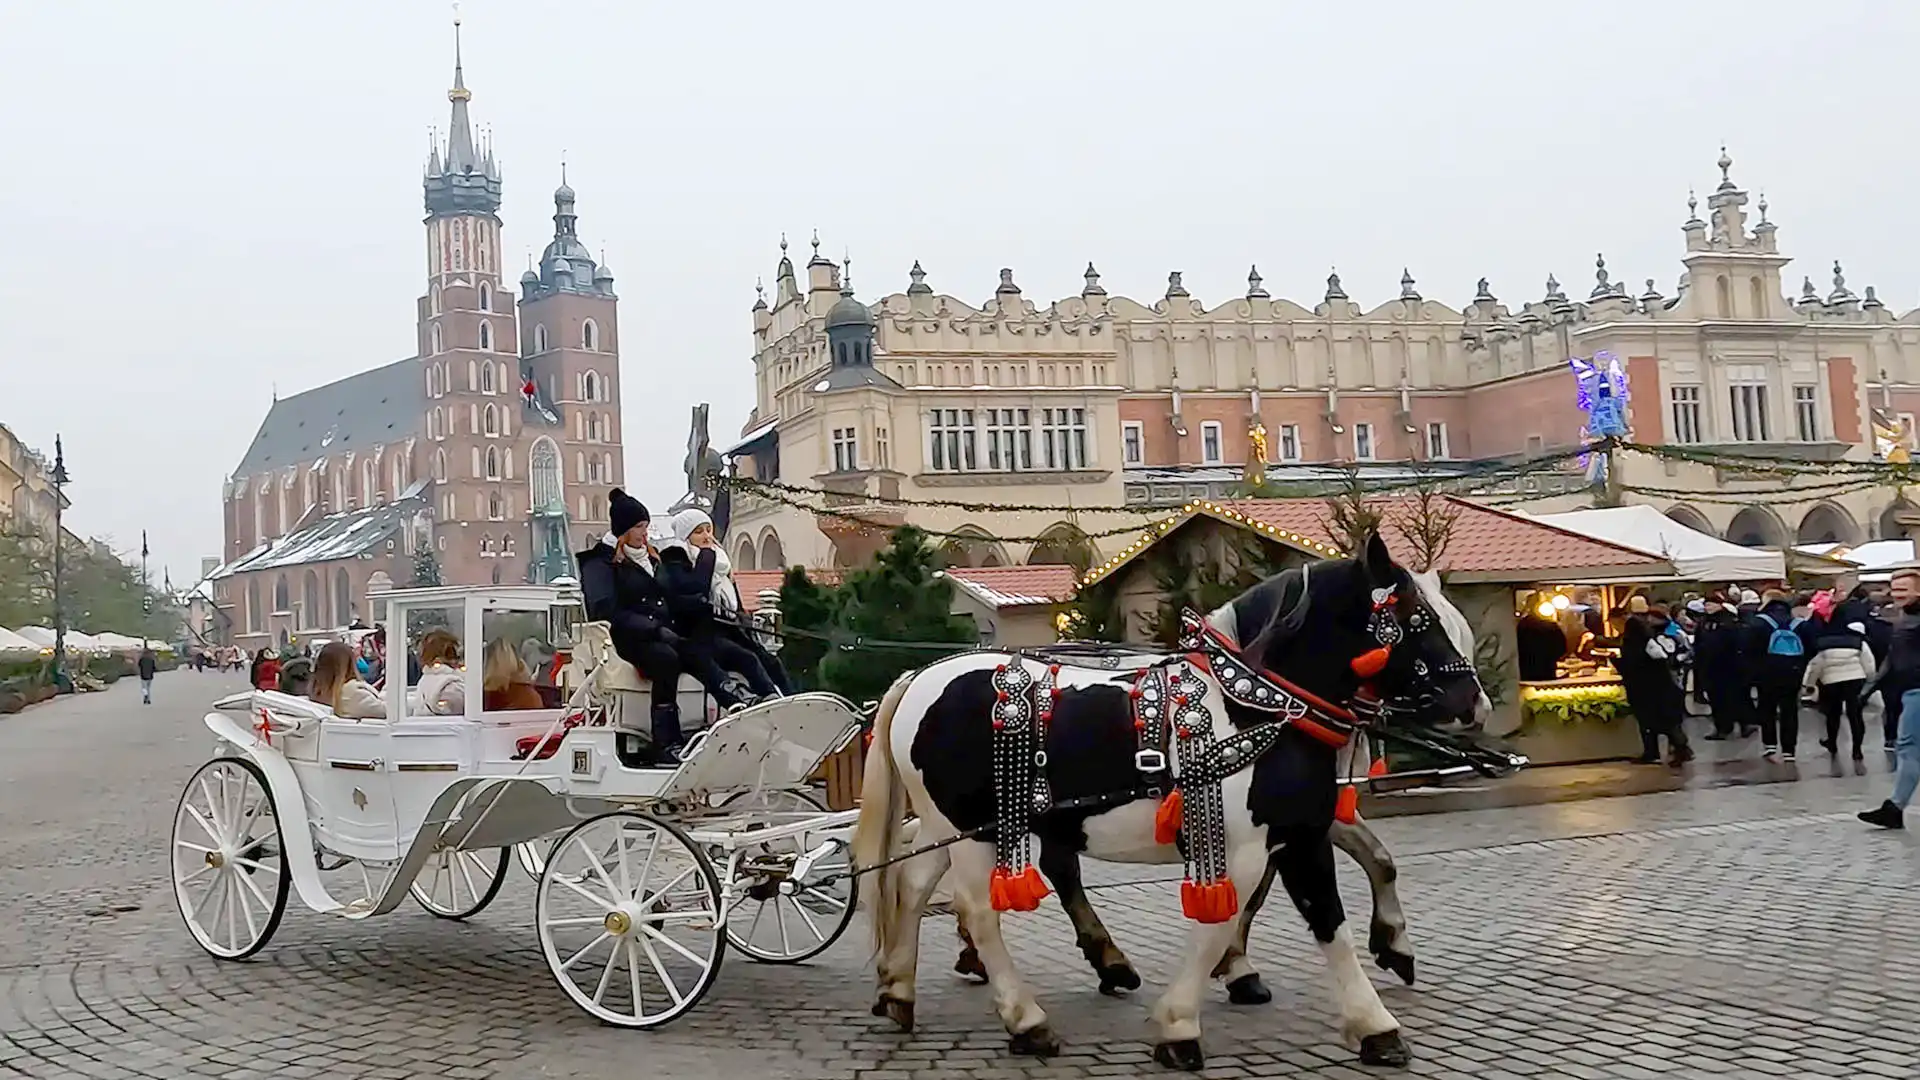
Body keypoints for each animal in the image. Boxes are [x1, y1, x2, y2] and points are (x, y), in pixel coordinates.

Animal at [856, 534, 1482, 1060]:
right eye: (1419, 619)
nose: (1472, 703)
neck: (1257, 709)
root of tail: (918, 678)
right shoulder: (1242, 847)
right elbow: (1219, 928)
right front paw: (1180, 1025)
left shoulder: (1299, 836)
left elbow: (1329, 921)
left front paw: (1375, 1025)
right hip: (972, 829)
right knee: (979, 909)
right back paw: (1026, 1019)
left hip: (944, 826)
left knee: (913, 886)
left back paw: (899, 989)